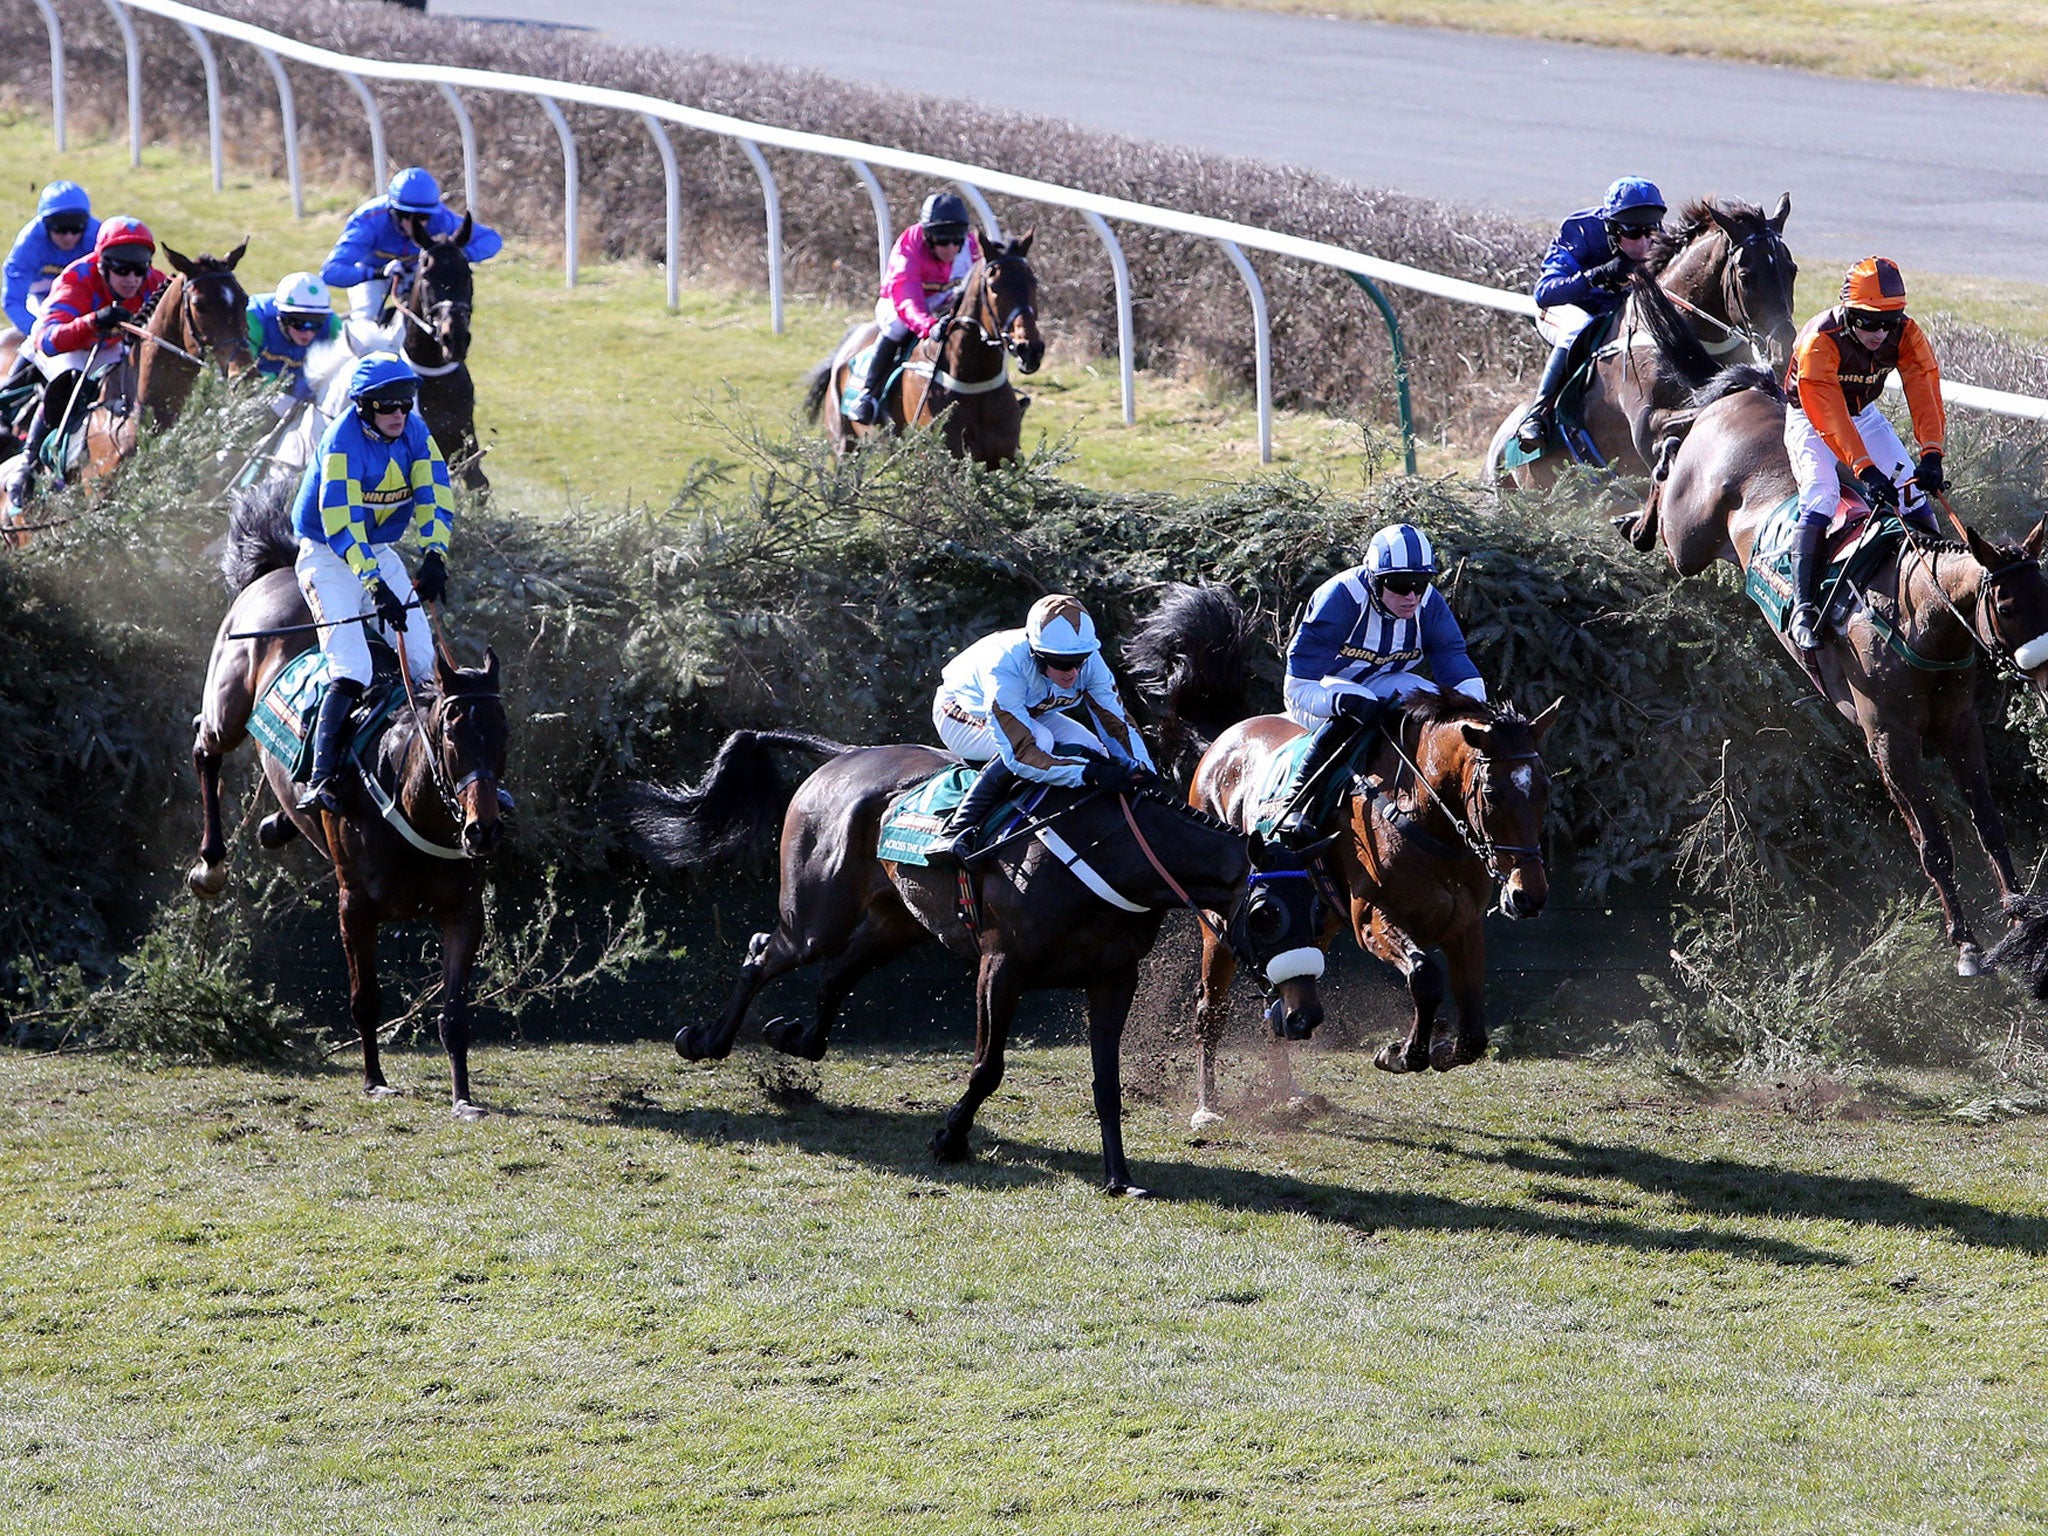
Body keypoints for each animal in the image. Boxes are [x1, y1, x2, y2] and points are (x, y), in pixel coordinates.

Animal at [183, 481, 507, 1122]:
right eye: (452, 734)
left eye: (504, 734)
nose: (481, 831)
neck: (409, 802)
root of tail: (281, 564)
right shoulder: (354, 906)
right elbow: (365, 998)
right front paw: (375, 1078)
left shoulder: (463, 911)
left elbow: (455, 1014)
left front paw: (463, 1097)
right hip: (229, 699)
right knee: (206, 745)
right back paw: (211, 863)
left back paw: (279, 822)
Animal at [618, 733, 1327, 1204]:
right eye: (1266, 913)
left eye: (1321, 907)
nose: (1304, 1016)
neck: (1111, 851)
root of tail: (844, 756)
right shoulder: (1000, 967)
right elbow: (988, 1067)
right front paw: (949, 1140)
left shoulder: (1112, 978)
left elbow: (1106, 1083)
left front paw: (1120, 1176)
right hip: (817, 915)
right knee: (766, 951)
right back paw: (706, 1041)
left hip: (895, 923)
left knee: (835, 976)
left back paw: (793, 1038)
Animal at [806, 234, 1048, 468]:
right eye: (993, 287)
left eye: (1033, 283)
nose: (1030, 350)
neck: (973, 381)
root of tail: (845, 346)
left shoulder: (1006, 460)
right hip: (844, 446)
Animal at [1630, 364, 2048, 974]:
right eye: (2010, 607)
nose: (2046, 671)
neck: (1914, 616)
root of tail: (1750, 393)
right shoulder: (1888, 739)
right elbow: (1933, 845)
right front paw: (1968, 944)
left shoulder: (1958, 724)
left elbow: (1988, 824)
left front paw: (2019, 918)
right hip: (1688, 538)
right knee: (1668, 467)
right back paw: (1638, 512)